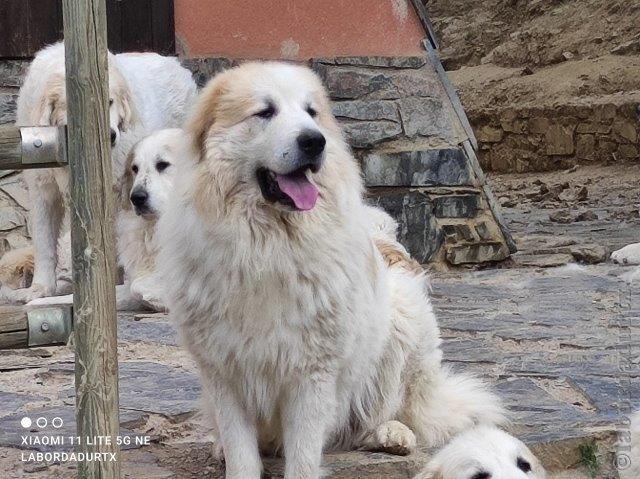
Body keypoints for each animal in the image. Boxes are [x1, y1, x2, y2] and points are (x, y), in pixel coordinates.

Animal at [159, 63, 504, 479]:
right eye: (265, 111)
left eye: (311, 112)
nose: (314, 141)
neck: (267, 248)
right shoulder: (225, 372)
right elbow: (242, 454)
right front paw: (235, 456)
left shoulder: (313, 374)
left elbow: (304, 458)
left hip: (402, 324)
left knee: (388, 412)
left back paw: (390, 433)